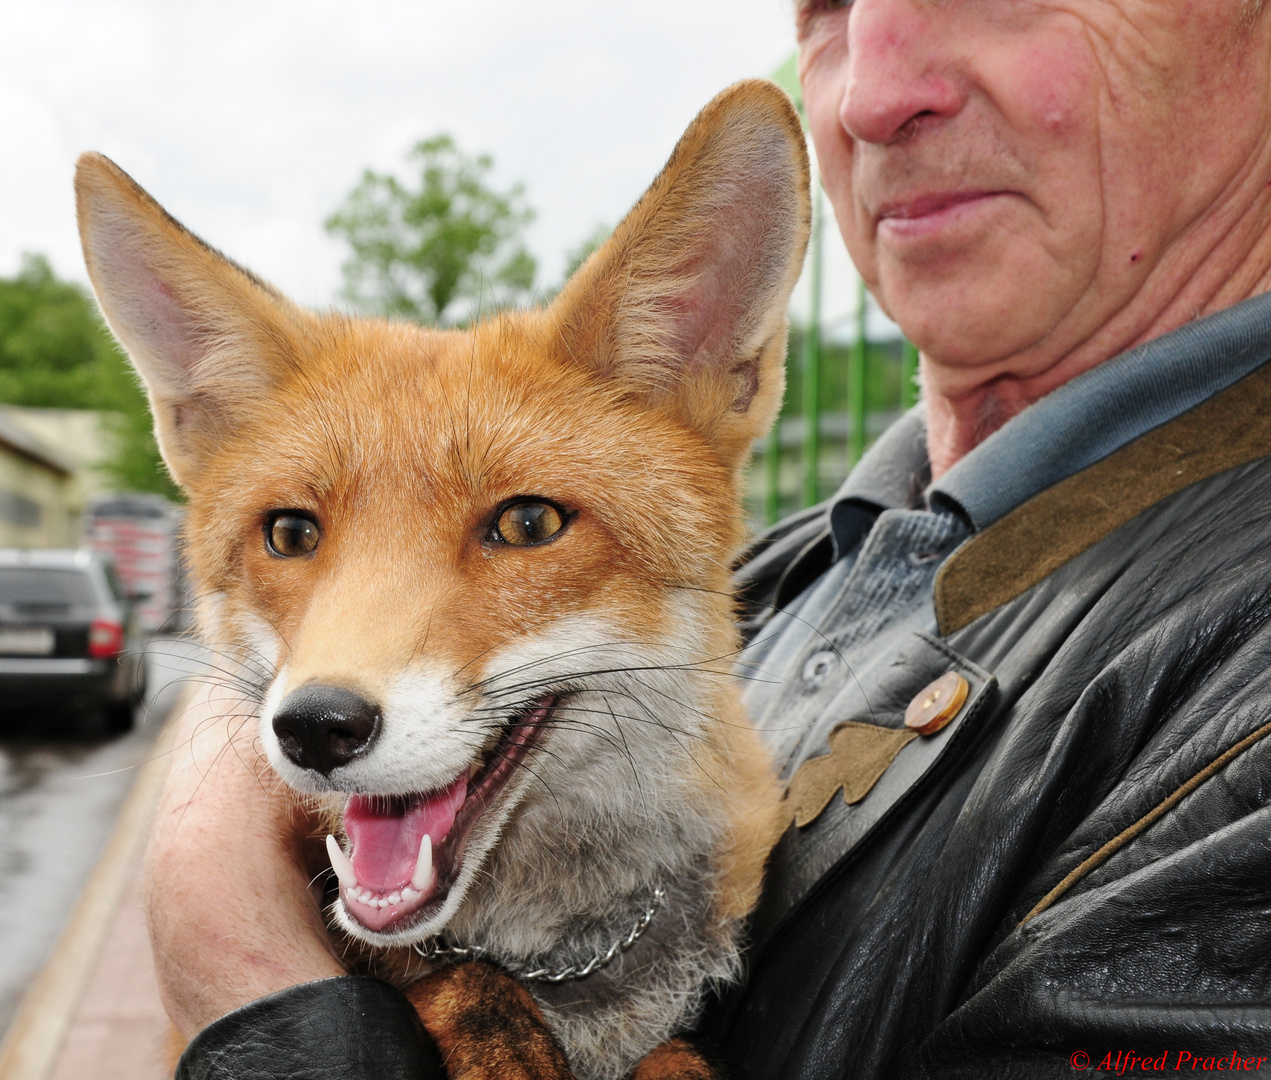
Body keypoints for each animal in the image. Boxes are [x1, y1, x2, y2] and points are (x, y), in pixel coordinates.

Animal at [79, 80, 808, 1072]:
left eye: (529, 523)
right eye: (290, 533)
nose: (316, 727)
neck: (564, 964)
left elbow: (674, 1057)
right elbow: (472, 990)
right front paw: (494, 1023)